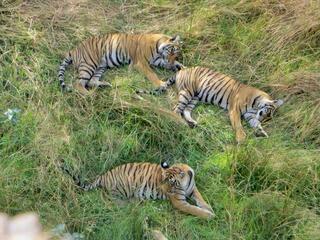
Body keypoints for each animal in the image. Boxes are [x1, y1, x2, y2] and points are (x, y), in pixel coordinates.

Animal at [61, 161, 214, 219]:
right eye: (163, 180)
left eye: (171, 182)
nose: (163, 189)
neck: (185, 183)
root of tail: (103, 176)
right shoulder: (179, 202)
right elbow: (193, 209)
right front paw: (209, 215)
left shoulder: (193, 189)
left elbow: (200, 199)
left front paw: (209, 208)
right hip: (121, 188)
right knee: (112, 201)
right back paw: (133, 207)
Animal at [136, 66, 284, 142]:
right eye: (268, 113)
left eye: (268, 118)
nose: (263, 119)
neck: (255, 104)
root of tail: (181, 70)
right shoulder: (235, 110)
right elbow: (238, 125)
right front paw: (241, 138)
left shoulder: (250, 115)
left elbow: (255, 124)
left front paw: (261, 132)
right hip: (187, 92)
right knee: (176, 109)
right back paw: (180, 123)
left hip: (194, 97)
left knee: (185, 110)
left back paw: (193, 123)